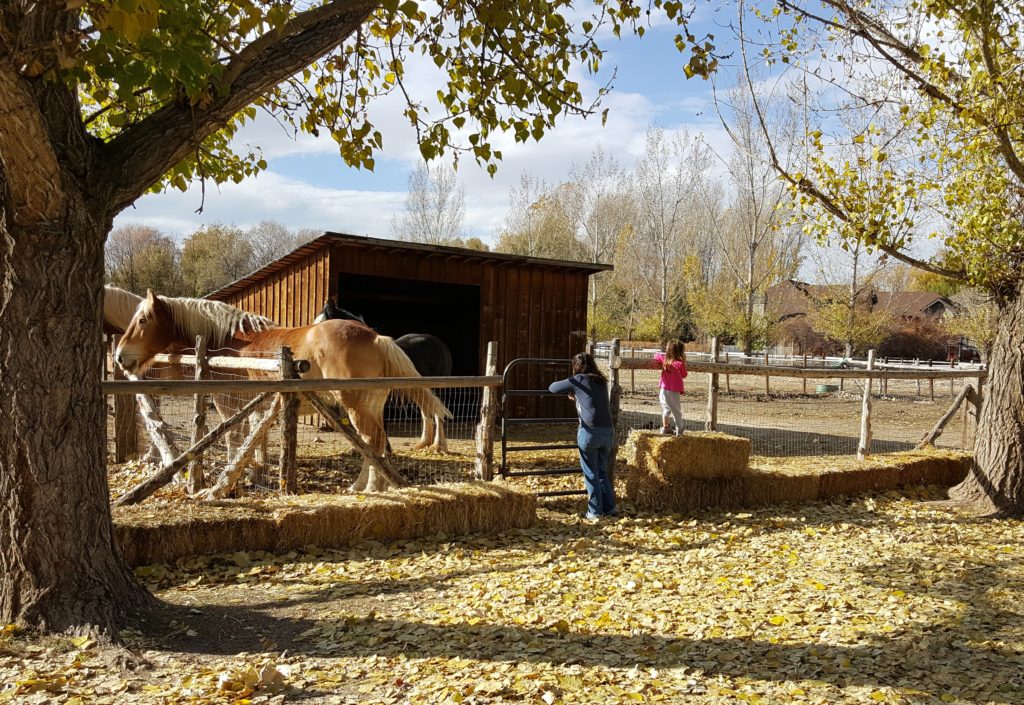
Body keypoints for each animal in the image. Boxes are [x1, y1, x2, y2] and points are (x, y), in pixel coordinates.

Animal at [315, 297, 452, 450]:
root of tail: (440, 344)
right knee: (426, 411)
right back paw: (423, 444)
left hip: (438, 388)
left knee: (438, 414)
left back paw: (439, 446)